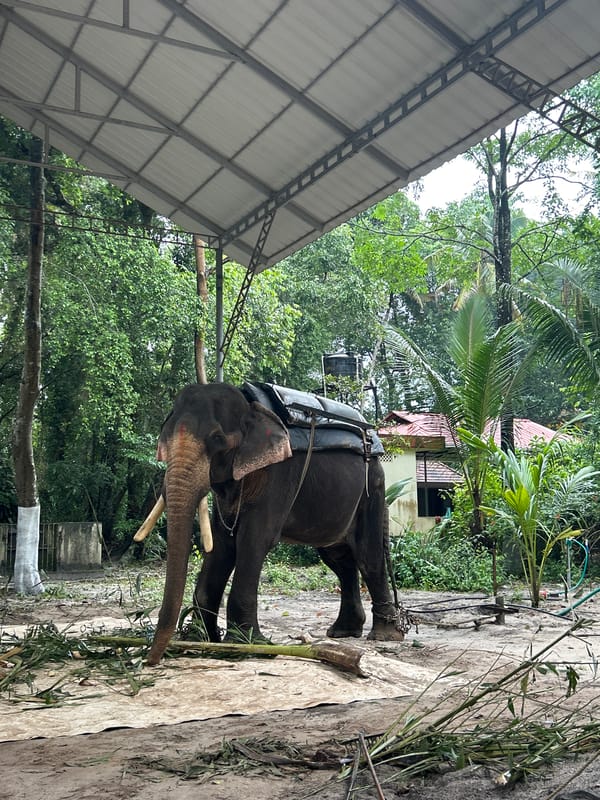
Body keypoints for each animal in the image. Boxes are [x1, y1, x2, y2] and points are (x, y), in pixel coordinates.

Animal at [146, 382, 406, 665]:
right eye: (164, 437)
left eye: (217, 439)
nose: (150, 660)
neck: (250, 405)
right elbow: (222, 544)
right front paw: (199, 639)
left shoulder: (281, 473)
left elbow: (253, 539)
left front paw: (246, 644)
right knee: (338, 560)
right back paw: (343, 632)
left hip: (374, 487)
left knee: (368, 556)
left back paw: (384, 636)